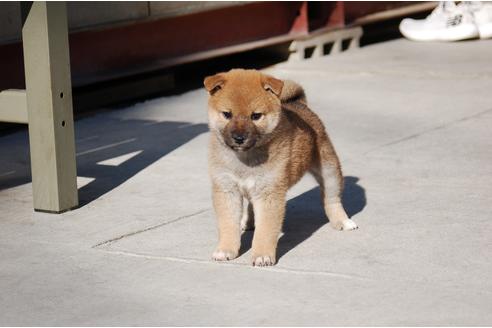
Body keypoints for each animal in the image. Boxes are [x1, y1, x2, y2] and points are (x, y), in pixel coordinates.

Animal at [204, 69, 358, 266]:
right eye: (227, 114)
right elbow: (228, 225)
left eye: (256, 116)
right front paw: (226, 249)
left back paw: (343, 221)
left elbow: (265, 230)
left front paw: (262, 255)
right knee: (251, 205)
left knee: (332, 199)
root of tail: (299, 104)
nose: (239, 138)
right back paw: (248, 222)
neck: (245, 159)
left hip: (330, 171)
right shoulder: (226, 189)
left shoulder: (269, 193)